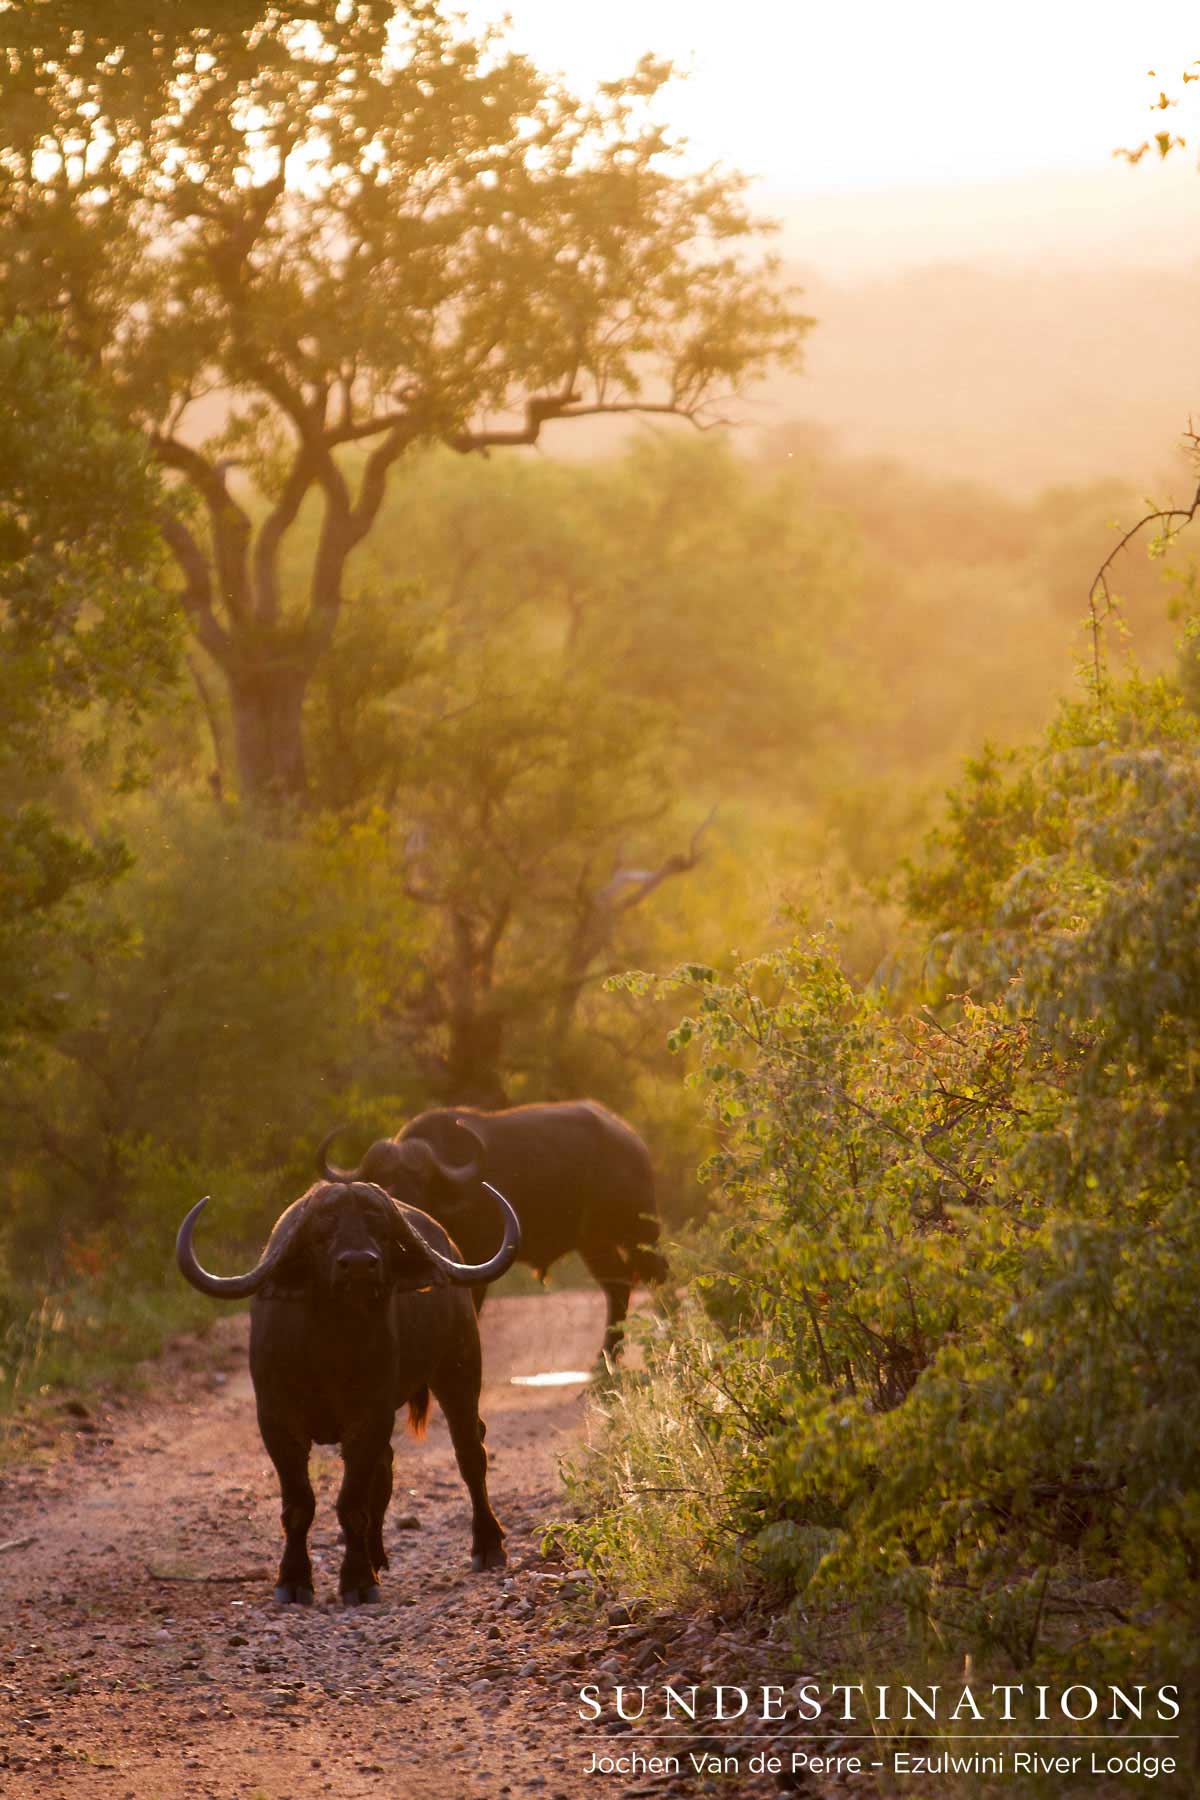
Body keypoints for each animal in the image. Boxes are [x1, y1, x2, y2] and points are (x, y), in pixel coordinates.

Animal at [175, 1139, 519, 1605]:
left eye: (381, 1228)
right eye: (322, 1229)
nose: (358, 1264)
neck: (331, 1351)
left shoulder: (369, 1416)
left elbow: (352, 1501)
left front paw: (357, 1580)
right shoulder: (276, 1420)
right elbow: (300, 1504)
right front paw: (294, 1580)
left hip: (460, 1370)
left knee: (470, 1454)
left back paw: (487, 1546)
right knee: (388, 1470)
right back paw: (378, 1555)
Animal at [319, 1100, 668, 1360]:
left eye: (421, 1181)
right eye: (384, 1180)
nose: (402, 1209)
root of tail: (633, 1144)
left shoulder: (476, 1263)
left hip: (638, 1231)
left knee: (654, 1275)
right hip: (596, 1242)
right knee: (619, 1284)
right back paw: (606, 1360)